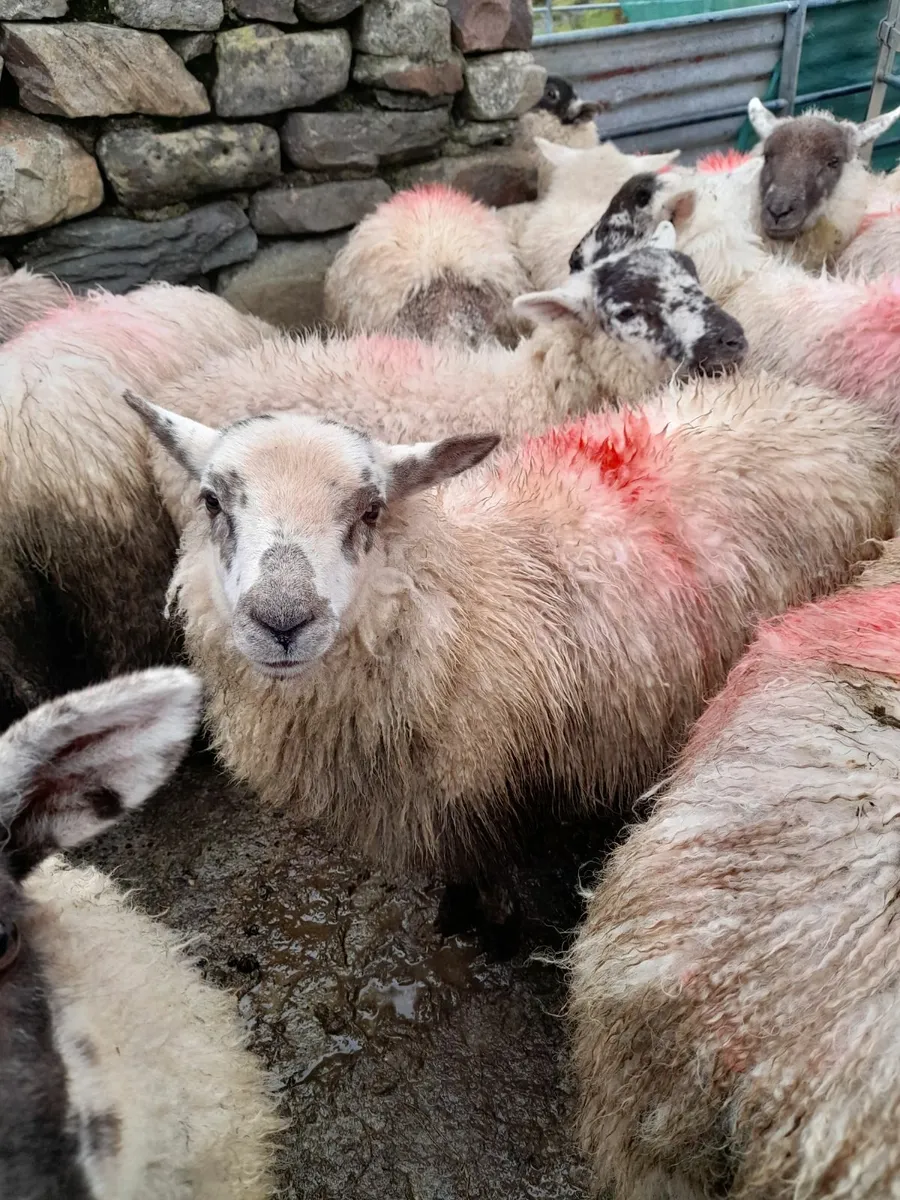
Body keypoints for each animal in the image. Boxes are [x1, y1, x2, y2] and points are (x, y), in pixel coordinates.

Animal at [129, 361, 897, 953]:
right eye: (212, 502)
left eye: (371, 509)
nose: (282, 621)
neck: (462, 592)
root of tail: (830, 406)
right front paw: (454, 919)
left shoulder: (497, 790)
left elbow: (499, 882)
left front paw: (495, 936)